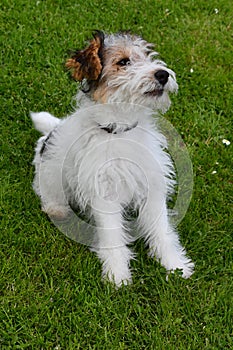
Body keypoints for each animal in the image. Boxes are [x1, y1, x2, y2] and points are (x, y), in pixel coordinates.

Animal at [31, 30, 195, 288]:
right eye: (123, 62)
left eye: (148, 55)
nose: (162, 74)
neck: (120, 130)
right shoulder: (104, 194)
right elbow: (112, 235)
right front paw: (117, 276)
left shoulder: (151, 184)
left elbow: (161, 230)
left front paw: (175, 265)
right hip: (49, 174)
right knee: (47, 192)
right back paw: (56, 209)